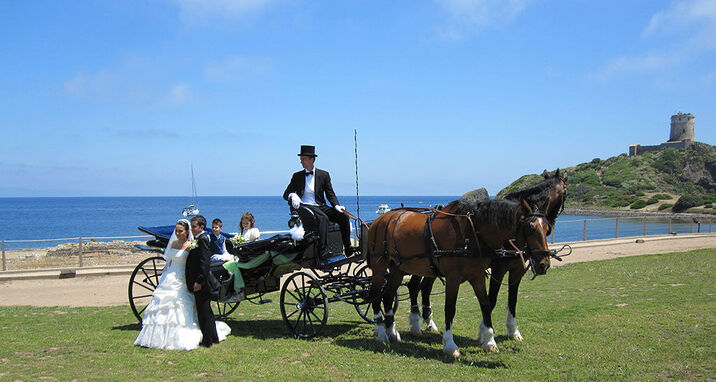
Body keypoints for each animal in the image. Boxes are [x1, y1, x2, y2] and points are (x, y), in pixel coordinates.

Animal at [366, 198, 552, 356]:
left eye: (547, 229)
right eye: (531, 228)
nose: (544, 264)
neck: (472, 233)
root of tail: (379, 220)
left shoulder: (477, 275)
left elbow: (486, 304)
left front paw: (489, 341)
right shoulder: (453, 278)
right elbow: (450, 309)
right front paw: (450, 345)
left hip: (398, 268)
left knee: (388, 295)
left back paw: (392, 332)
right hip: (379, 268)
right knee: (375, 295)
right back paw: (381, 332)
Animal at [406, 169, 568, 342]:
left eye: (545, 228)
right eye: (530, 228)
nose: (543, 264)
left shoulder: (517, 269)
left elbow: (512, 300)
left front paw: (513, 330)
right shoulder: (498, 269)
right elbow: (491, 300)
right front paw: (484, 331)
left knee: (425, 288)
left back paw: (430, 323)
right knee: (414, 286)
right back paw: (416, 324)